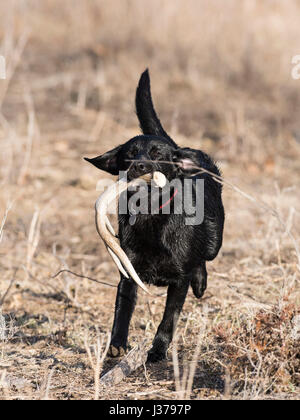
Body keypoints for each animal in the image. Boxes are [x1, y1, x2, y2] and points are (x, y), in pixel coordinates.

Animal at [85, 70, 224, 362]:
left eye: (157, 155)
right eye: (128, 154)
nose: (139, 166)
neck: (151, 216)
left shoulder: (179, 281)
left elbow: (169, 318)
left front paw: (158, 349)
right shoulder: (128, 272)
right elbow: (122, 310)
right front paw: (117, 344)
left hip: (214, 241)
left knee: (203, 261)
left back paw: (201, 283)